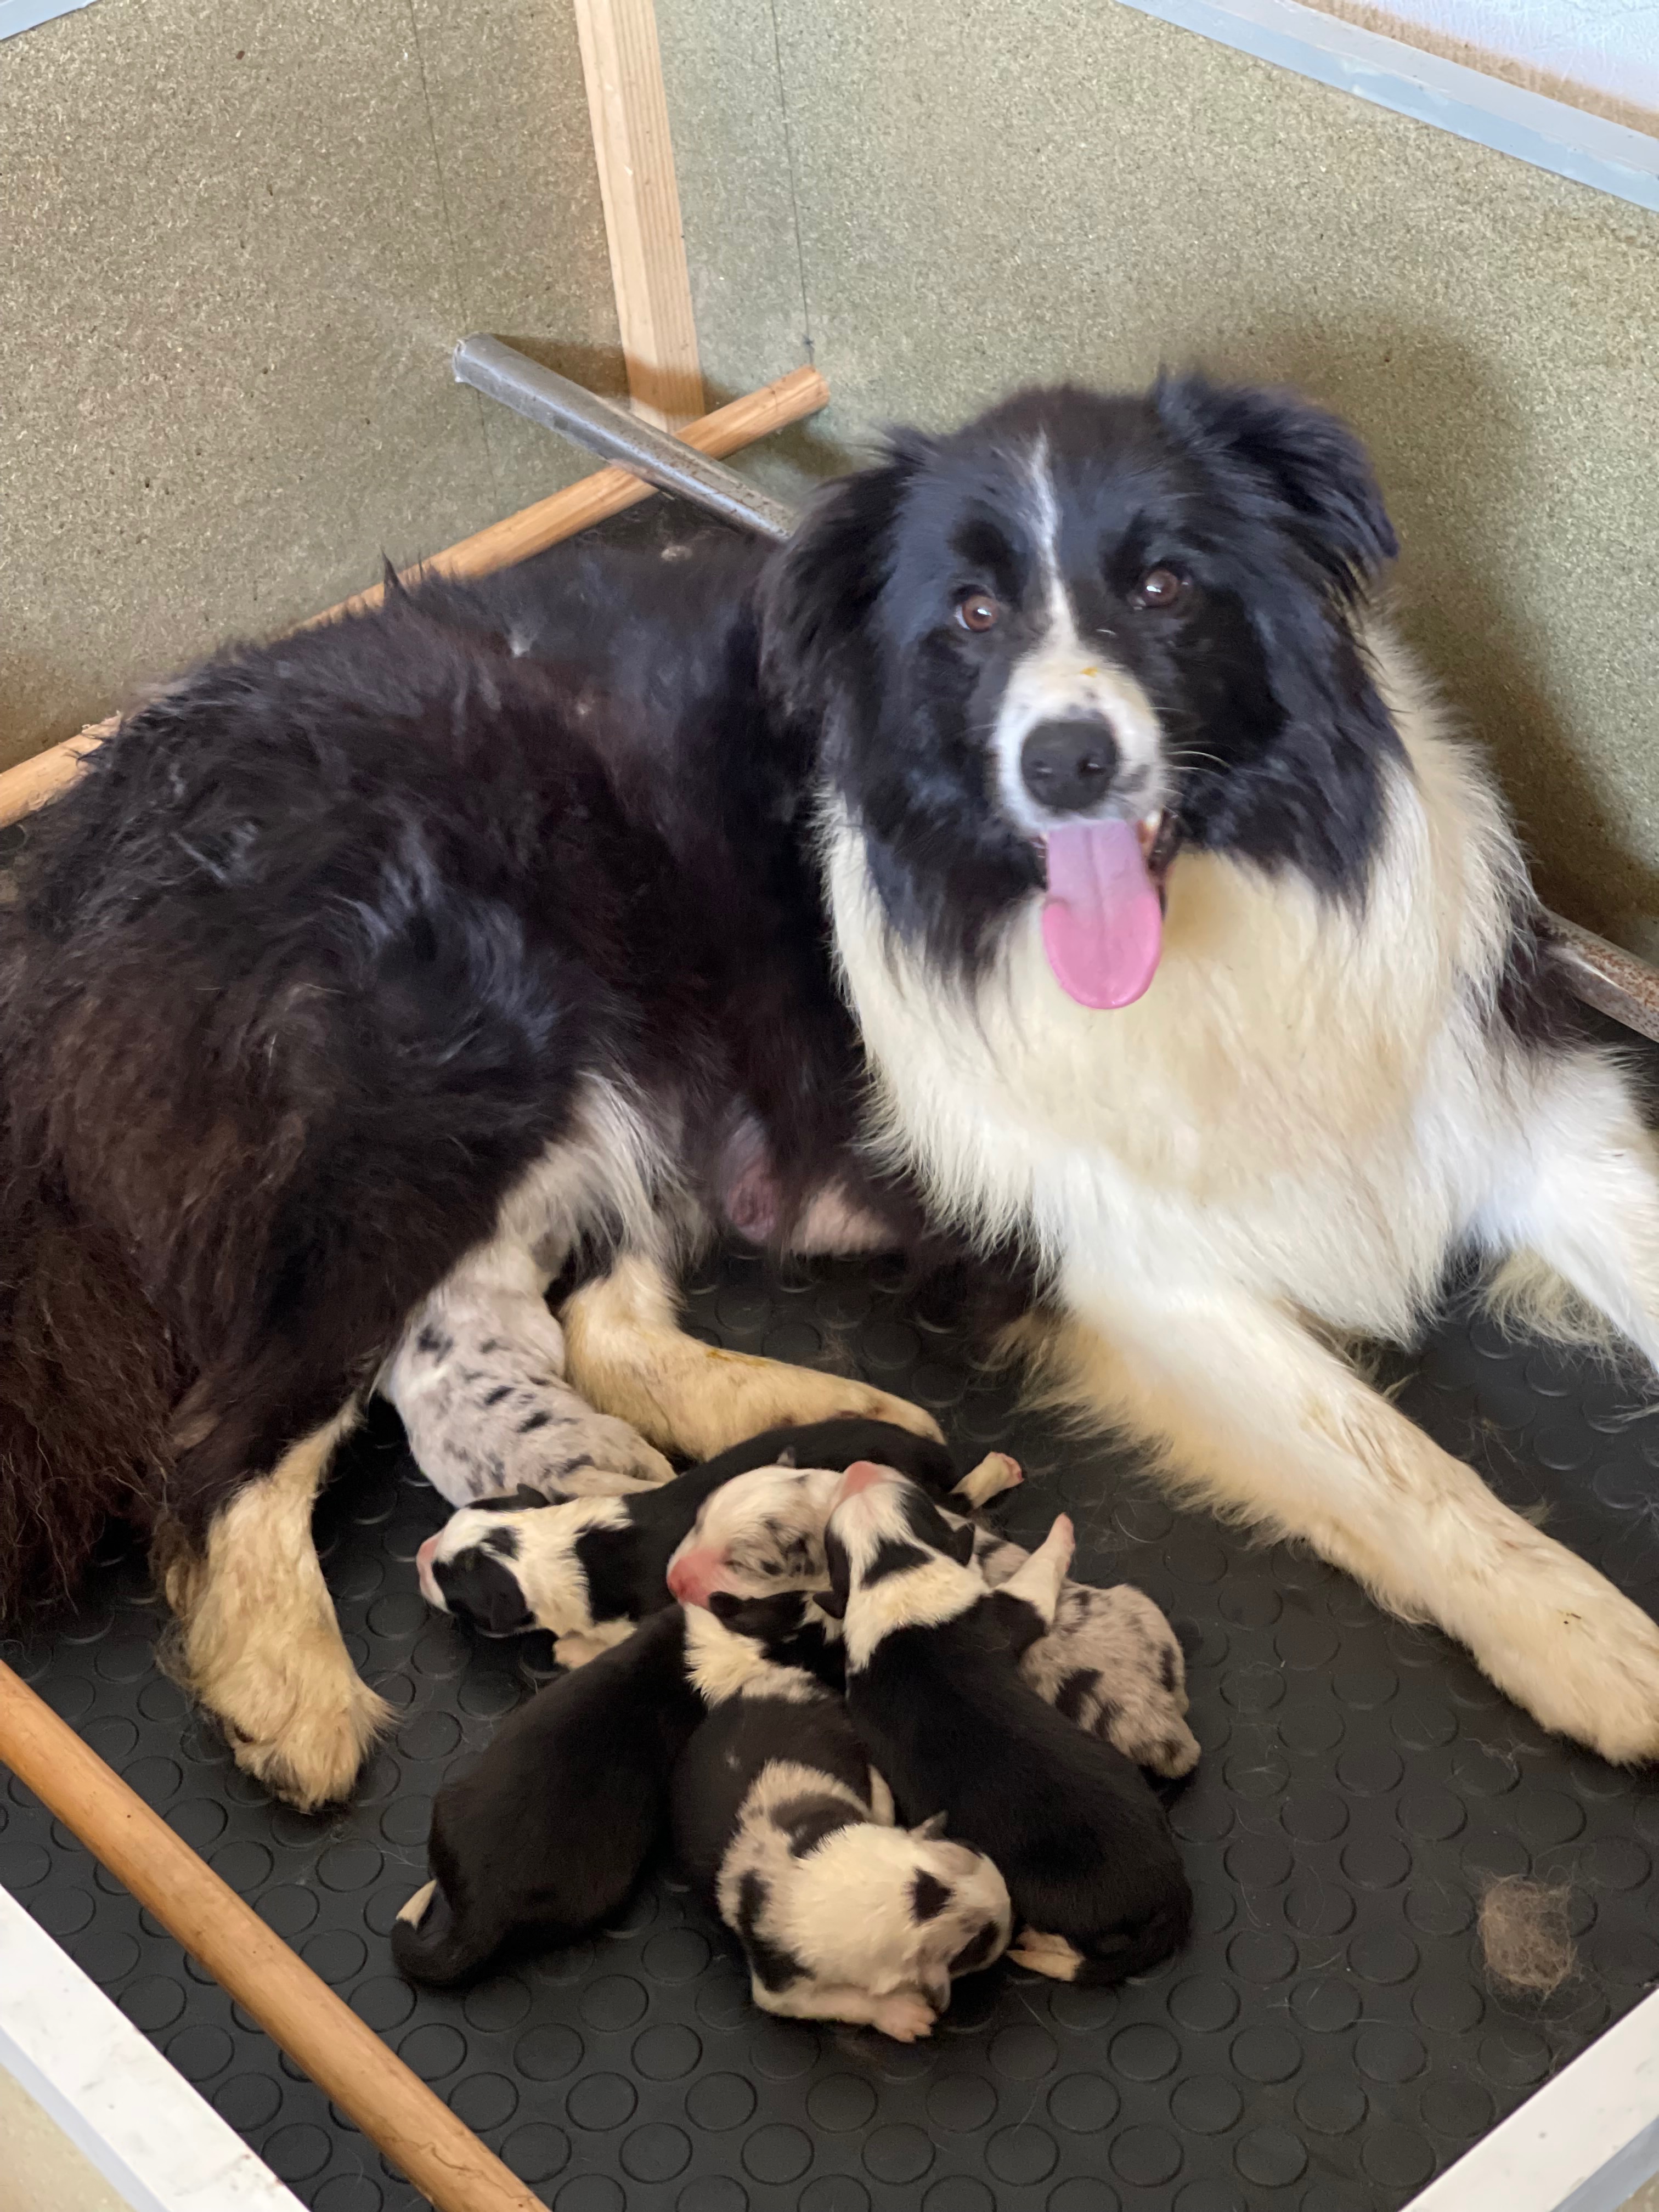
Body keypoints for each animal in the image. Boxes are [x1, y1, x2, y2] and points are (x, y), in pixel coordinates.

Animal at [418, 1415, 1000, 1663]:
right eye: (452, 1522)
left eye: (450, 1584)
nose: (419, 1556)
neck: (562, 1548)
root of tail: (924, 1451)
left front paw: (572, 1649)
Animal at [672, 1593, 1013, 2035]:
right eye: (980, 1945)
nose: (1013, 1918)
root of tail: (766, 1670)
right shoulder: (781, 1988)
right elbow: (845, 1999)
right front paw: (905, 2013)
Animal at [822, 1469, 1194, 1990]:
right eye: (835, 1543)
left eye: (913, 1506)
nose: (858, 1472)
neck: (892, 1567)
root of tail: (1174, 1888)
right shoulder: (1017, 1606)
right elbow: (1040, 1572)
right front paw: (1062, 1530)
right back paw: (1039, 1944)